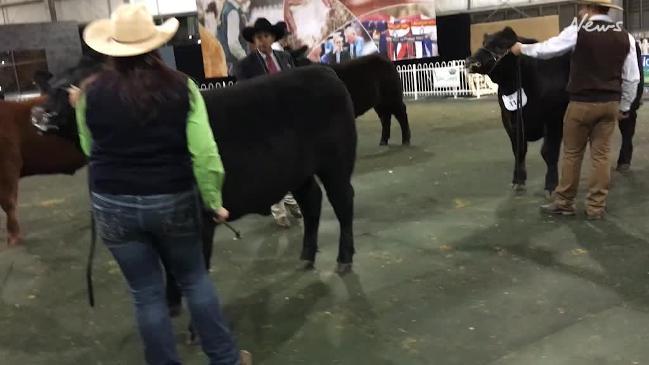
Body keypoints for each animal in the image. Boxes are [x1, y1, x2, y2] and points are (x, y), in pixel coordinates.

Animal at [33, 61, 356, 276]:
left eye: (73, 89)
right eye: (47, 88)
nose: (38, 114)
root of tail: (324, 72)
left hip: (337, 162)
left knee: (342, 202)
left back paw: (344, 259)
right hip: (298, 171)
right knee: (312, 200)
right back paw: (307, 256)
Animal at [466, 26, 568, 195]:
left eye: (500, 46)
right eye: (484, 43)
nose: (470, 61)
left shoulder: (554, 118)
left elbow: (548, 152)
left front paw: (551, 185)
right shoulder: (509, 120)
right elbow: (519, 150)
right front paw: (518, 180)